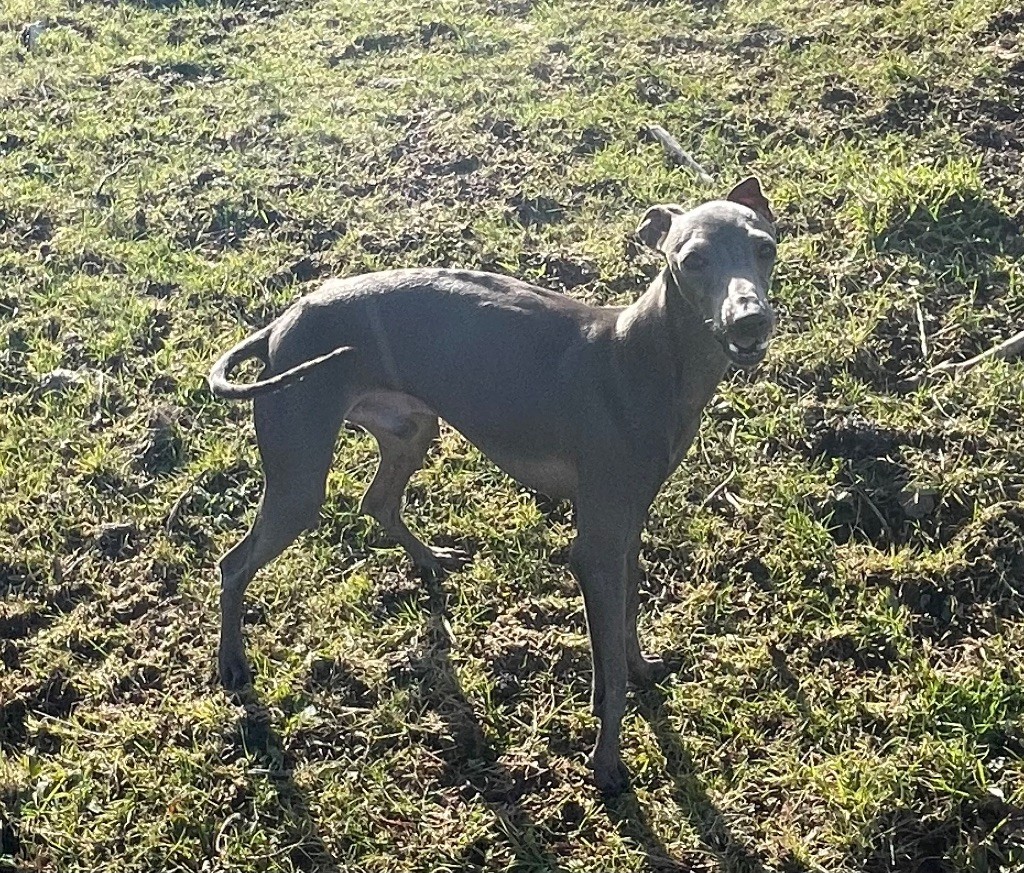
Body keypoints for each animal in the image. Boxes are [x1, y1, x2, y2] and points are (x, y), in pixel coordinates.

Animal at [211, 177, 778, 790]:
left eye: (765, 248)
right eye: (691, 260)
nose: (750, 321)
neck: (644, 356)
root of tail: (281, 322)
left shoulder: (626, 530)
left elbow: (627, 621)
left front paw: (640, 669)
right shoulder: (595, 549)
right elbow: (609, 670)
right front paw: (606, 763)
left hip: (412, 430)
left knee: (377, 502)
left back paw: (431, 560)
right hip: (298, 483)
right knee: (234, 563)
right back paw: (232, 664)